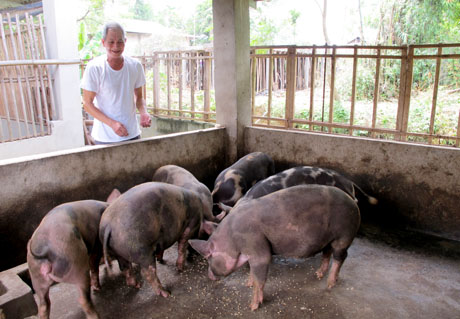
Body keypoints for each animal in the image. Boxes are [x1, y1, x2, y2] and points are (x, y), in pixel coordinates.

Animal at [26, 190, 120, 319]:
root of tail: (45, 249)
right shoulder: (96, 246)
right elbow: (94, 264)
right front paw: (98, 287)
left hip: (36, 277)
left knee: (44, 305)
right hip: (76, 263)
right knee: (82, 299)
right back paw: (96, 312)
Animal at [189, 184, 362, 312]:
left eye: (209, 256)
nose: (210, 275)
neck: (232, 238)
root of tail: (353, 203)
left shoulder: (256, 244)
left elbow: (260, 276)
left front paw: (252, 306)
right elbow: (252, 273)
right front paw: (247, 284)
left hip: (344, 234)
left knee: (340, 256)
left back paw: (330, 284)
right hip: (328, 238)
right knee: (327, 252)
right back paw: (319, 274)